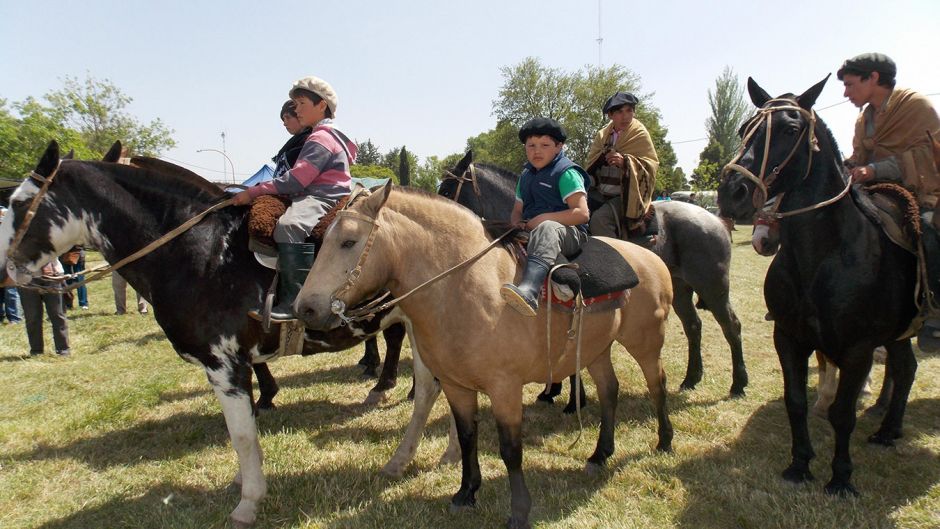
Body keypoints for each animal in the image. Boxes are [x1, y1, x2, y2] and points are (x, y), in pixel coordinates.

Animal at [0, 142, 456, 524]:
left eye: (19, 202)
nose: (7, 270)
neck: (202, 252)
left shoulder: (223, 365)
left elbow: (240, 434)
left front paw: (248, 501)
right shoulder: (237, 364)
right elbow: (246, 428)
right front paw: (244, 478)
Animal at [298, 183, 672, 528]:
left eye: (348, 241)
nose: (306, 309)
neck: (467, 287)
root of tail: (650, 257)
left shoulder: (505, 387)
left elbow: (510, 448)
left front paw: (519, 511)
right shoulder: (456, 385)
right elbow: (467, 438)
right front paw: (466, 493)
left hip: (646, 342)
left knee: (657, 384)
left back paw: (664, 442)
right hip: (597, 351)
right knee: (610, 391)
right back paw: (599, 455)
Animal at [442, 148, 748, 400]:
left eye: (446, 189)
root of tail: (715, 219)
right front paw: (554, 389)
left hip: (713, 286)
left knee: (731, 325)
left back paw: (738, 384)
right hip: (682, 288)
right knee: (694, 326)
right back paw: (691, 378)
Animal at [720, 77, 916, 496]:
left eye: (791, 130)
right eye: (745, 129)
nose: (732, 192)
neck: (822, 257)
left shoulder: (858, 349)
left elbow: (842, 414)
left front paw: (841, 477)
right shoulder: (788, 337)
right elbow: (795, 402)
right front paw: (799, 464)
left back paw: (887, 428)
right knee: (905, 367)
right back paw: (887, 428)